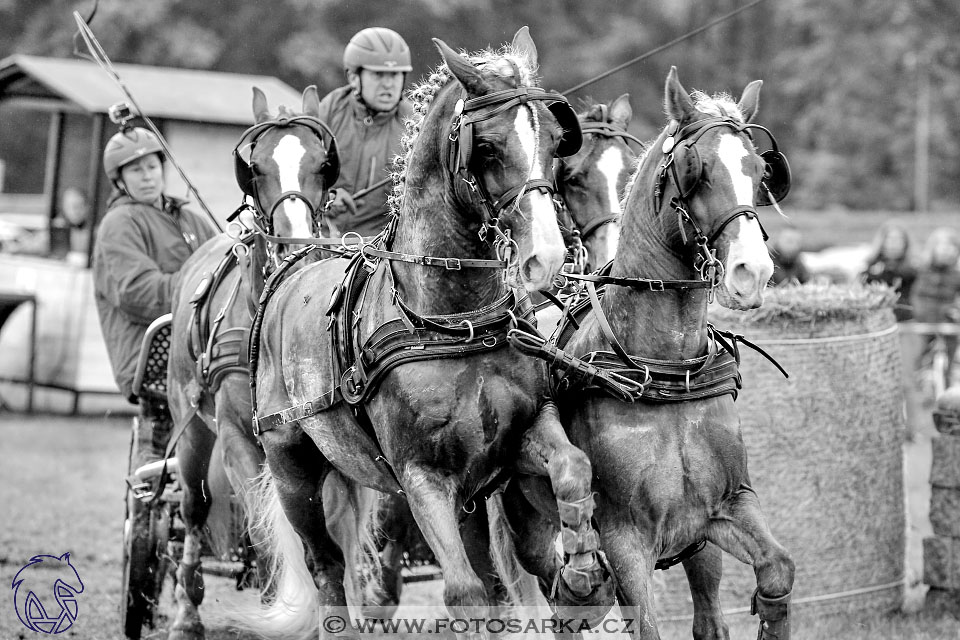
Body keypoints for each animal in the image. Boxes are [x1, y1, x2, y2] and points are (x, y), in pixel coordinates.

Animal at [167, 86, 340, 640]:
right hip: (191, 427)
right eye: (255, 168)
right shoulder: (238, 438)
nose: (295, 244)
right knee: (194, 508)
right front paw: (279, 608)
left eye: (322, 164)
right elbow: (267, 531)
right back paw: (187, 612)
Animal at [502, 66, 796, 640]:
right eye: (695, 169)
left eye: (759, 171)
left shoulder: (724, 507)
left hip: (698, 548)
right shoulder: (625, 539)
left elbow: (777, 569)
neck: (664, 368)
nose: (753, 272)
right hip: (529, 537)